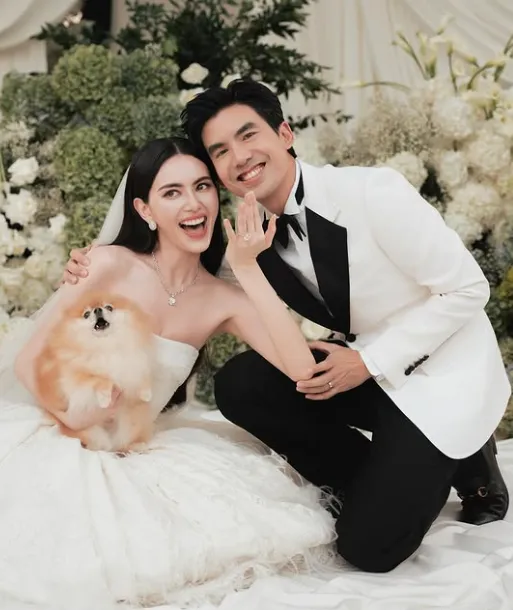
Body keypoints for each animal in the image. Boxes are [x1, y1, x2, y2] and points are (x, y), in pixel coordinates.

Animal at [34, 292, 156, 452]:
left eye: (109, 307)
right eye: (86, 314)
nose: (97, 309)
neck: (105, 345)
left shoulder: (133, 359)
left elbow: (139, 374)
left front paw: (146, 393)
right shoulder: (74, 375)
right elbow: (98, 379)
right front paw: (104, 398)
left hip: (131, 422)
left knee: (123, 443)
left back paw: (135, 446)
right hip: (89, 431)